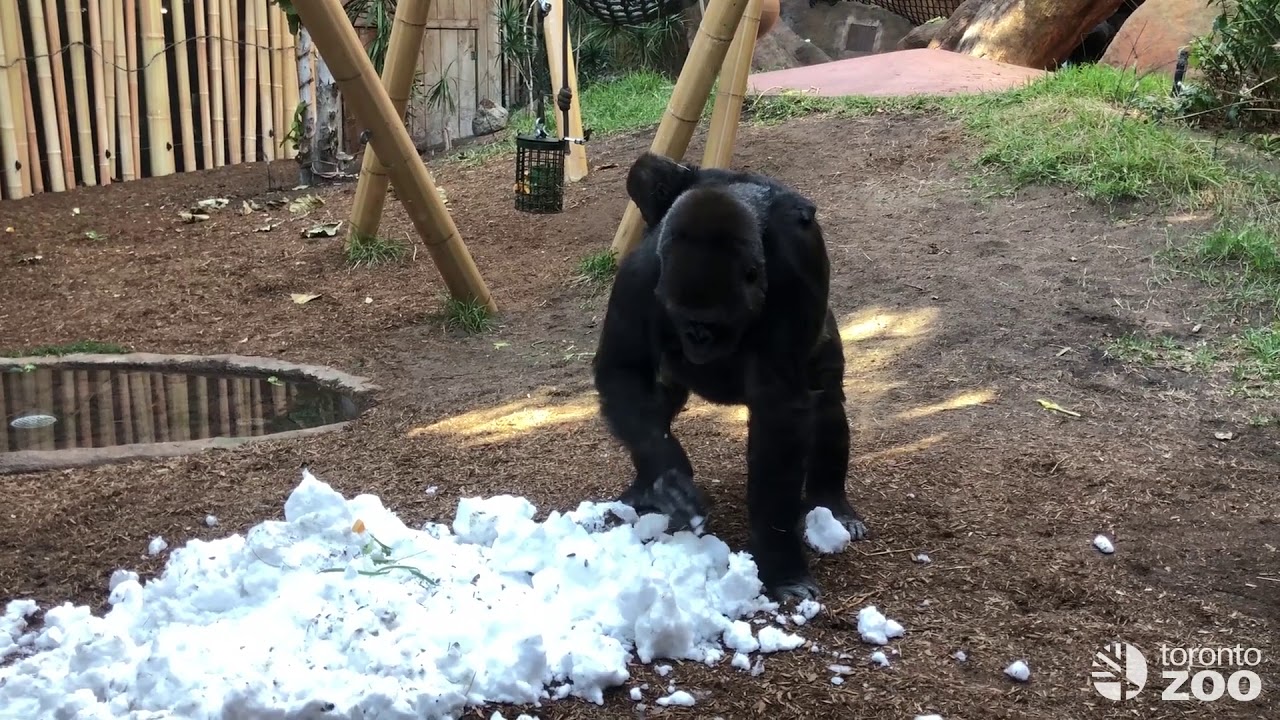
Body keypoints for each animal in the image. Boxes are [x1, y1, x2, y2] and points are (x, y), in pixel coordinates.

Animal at [591, 152, 867, 602]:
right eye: (684, 318)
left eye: (715, 323)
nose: (697, 338)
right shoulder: (639, 276)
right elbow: (624, 370)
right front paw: (668, 476)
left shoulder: (797, 268)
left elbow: (779, 411)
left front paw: (780, 562)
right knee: (655, 400)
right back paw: (644, 486)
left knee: (826, 401)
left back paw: (831, 503)